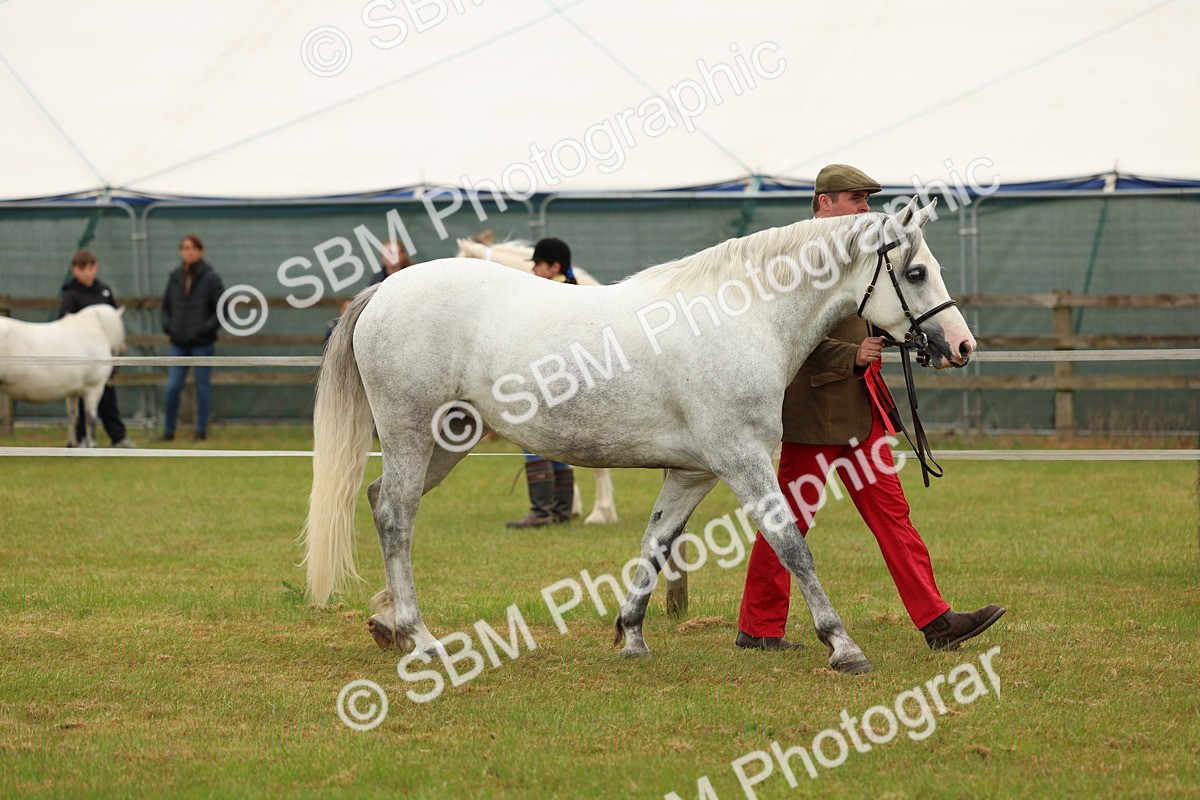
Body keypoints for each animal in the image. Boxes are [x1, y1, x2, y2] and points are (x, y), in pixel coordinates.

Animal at [0, 304, 126, 447]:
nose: (116, 369)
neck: (93, 330)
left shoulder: (72, 392)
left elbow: (73, 417)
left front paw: (71, 445)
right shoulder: (94, 388)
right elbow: (90, 419)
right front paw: (92, 446)